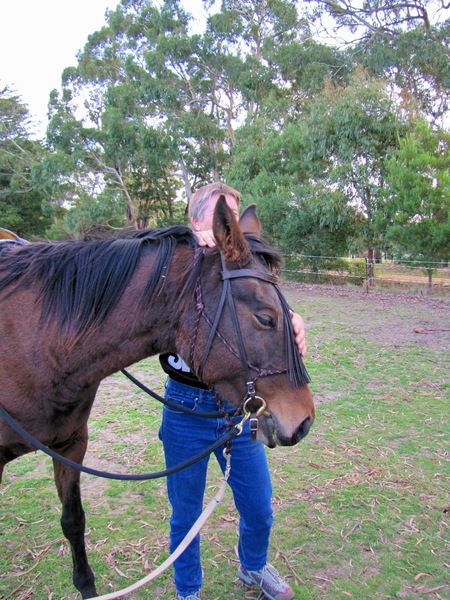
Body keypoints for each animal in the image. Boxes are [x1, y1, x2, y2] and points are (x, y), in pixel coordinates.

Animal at [0, 199, 314, 596]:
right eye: (265, 318)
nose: (304, 421)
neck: (35, 346)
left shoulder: (71, 446)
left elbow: (73, 521)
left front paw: (87, 588)